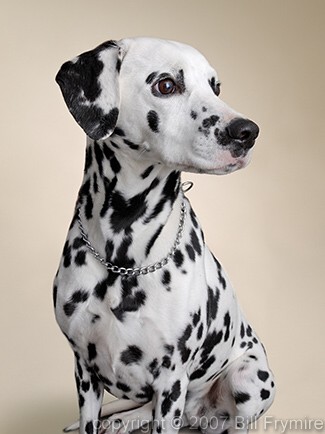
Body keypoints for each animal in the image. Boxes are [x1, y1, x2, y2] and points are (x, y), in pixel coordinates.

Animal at [52, 36, 274, 434]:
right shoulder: (84, 371)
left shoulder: (171, 380)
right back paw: (122, 420)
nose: (247, 132)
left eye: (215, 87)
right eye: (166, 85)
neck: (122, 255)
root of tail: (199, 412)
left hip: (249, 377)